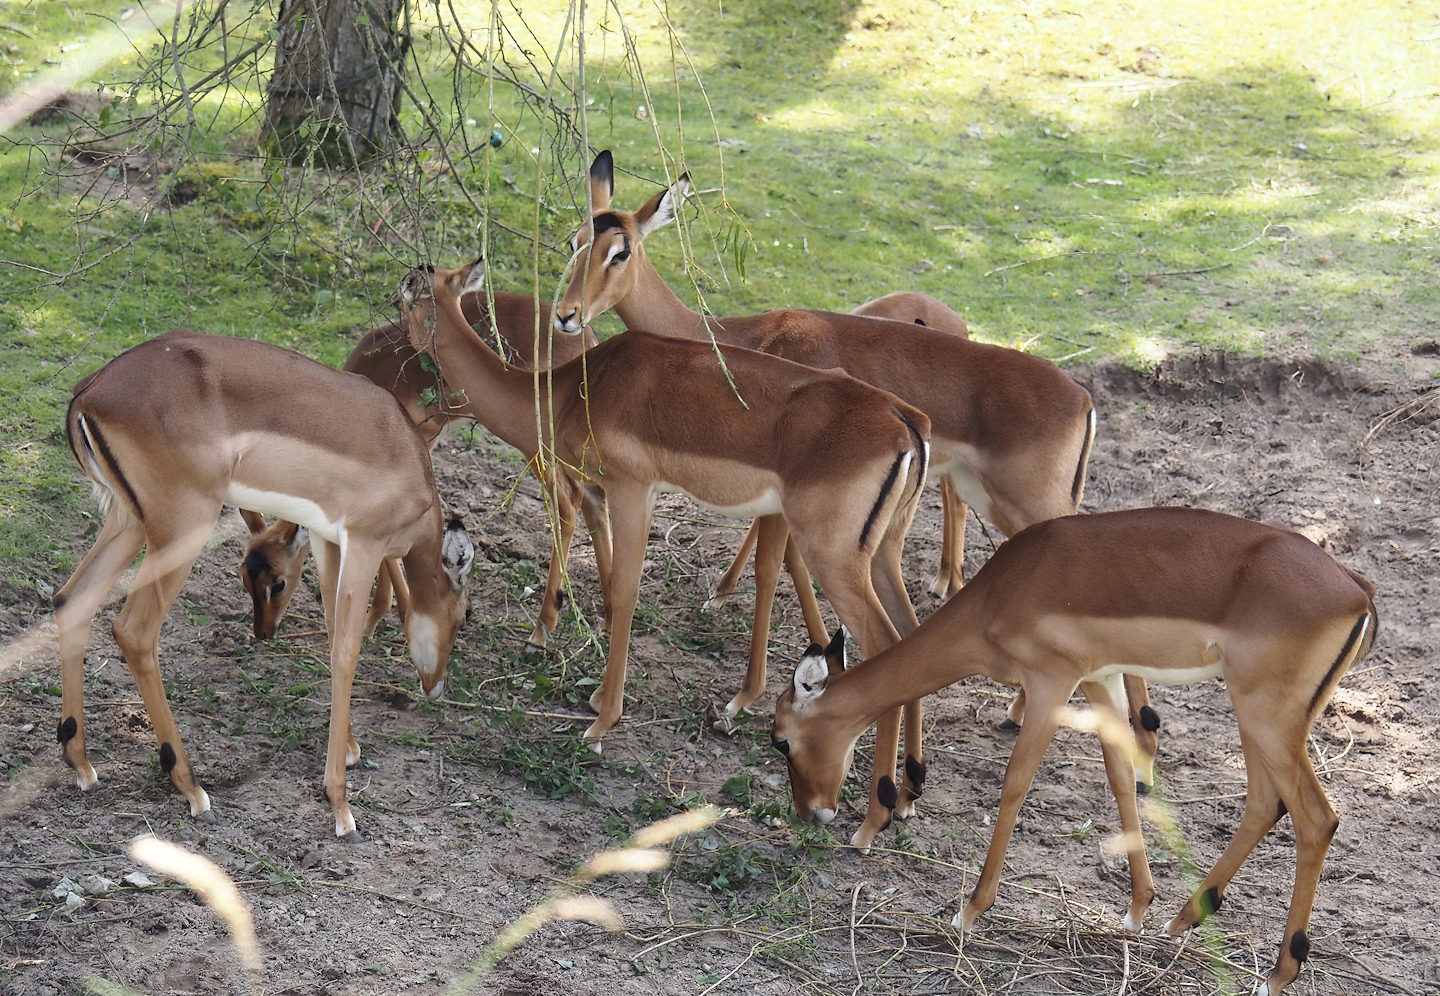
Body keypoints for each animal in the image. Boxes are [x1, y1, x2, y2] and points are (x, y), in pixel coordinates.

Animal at [55, 330, 475, 839]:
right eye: (465, 614)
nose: (436, 687)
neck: (406, 453)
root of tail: (91, 390)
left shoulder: (327, 540)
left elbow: (332, 632)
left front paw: (351, 751)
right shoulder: (365, 544)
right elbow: (346, 651)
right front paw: (341, 807)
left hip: (128, 522)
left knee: (71, 600)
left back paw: (82, 764)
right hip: (182, 530)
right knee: (133, 631)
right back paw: (192, 788)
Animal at [238, 292, 601, 650]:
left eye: (278, 582)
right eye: (245, 575)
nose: (263, 632)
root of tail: (586, 338)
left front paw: (387, 614)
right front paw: (380, 615)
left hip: (537, 443)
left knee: (569, 501)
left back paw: (541, 631)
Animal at [399, 261, 930, 822]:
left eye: (409, 297)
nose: (401, 348)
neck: (574, 389)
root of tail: (908, 426)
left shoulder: (631, 487)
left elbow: (626, 589)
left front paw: (601, 722)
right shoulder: (625, 490)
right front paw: (596, 698)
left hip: (835, 558)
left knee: (885, 647)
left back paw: (869, 818)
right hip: (880, 555)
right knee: (910, 635)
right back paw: (906, 798)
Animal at [555, 151, 1156, 848]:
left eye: (619, 250)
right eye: (576, 240)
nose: (566, 314)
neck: (743, 340)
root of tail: (1083, 398)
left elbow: (773, 569)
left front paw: (740, 698)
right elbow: (779, 567)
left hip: (1025, 509)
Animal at [772, 507, 1377, 996]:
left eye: (781, 739)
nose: (810, 812)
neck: (1004, 590)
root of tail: (1358, 591)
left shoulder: (1049, 684)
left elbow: (1015, 782)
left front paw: (970, 909)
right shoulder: (1099, 680)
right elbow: (1120, 778)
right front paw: (1137, 909)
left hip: (1265, 715)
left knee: (1316, 818)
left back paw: (1278, 973)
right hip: (1260, 718)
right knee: (1263, 803)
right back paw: (1182, 919)